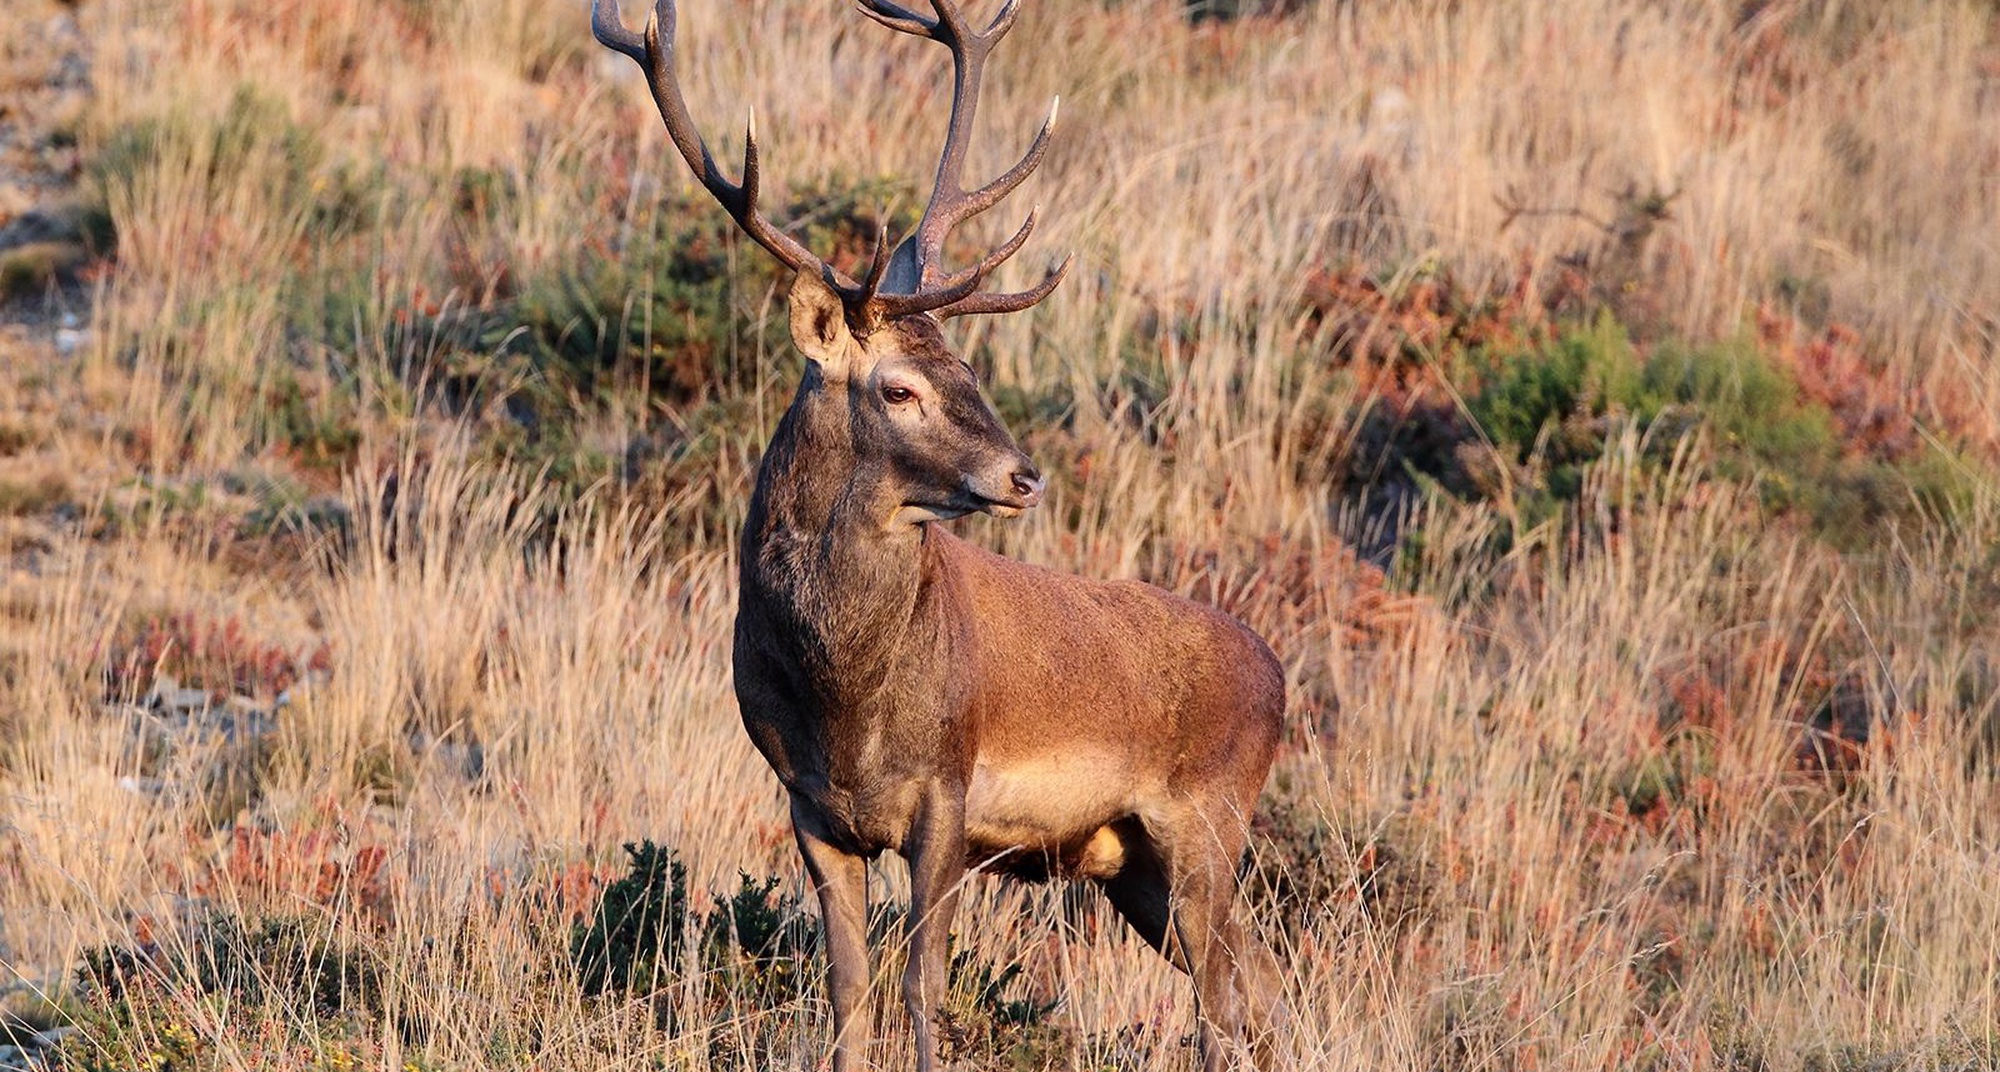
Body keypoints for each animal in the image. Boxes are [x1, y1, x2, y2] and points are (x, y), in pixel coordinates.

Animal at [592, 1, 1288, 1068]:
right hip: (1135, 865)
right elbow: (848, 989)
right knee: (1261, 987)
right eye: (900, 387)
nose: (1023, 475)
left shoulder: (949, 795)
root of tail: (1282, 677)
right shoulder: (809, 807)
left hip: (1207, 818)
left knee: (1225, 1004)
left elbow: (924, 985)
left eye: (968, 367)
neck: (845, 699)